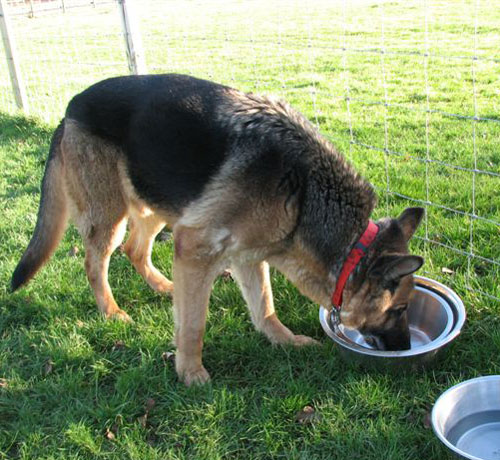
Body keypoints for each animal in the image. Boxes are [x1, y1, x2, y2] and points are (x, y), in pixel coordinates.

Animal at [9, 74, 424, 384]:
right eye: (400, 308)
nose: (406, 349)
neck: (305, 192)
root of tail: (72, 107)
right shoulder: (195, 248)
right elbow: (194, 325)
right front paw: (190, 372)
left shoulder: (248, 256)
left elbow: (265, 306)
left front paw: (283, 340)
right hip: (111, 217)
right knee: (96, 264)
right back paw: (112, 312)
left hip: (160, 204)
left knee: (136, 249)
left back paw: (164, 287)